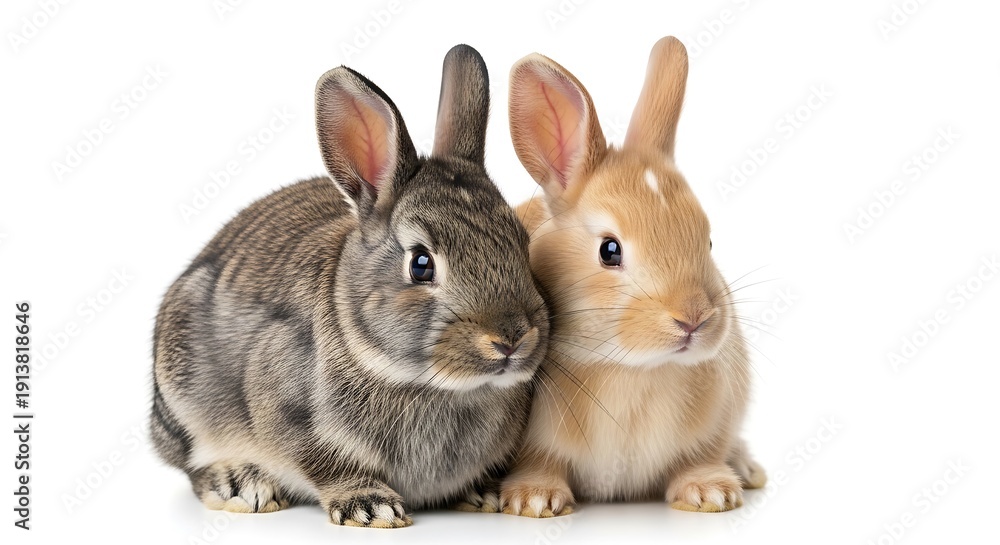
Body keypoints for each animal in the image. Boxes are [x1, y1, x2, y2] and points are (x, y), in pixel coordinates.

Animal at [150, 44, 549, 528]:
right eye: (421, 264)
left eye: (522, 243)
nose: (511, 338)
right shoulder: (290, 412)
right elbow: (326, 462)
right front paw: (371, 506)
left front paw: (485, 493)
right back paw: (241, 485)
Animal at [498, 36, 766, 517]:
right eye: (610, 250)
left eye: (708, 241)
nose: (693, 318)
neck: (631, 369)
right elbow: (540, 464)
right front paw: (534, 499)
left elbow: (700, 457)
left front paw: (711, 492)